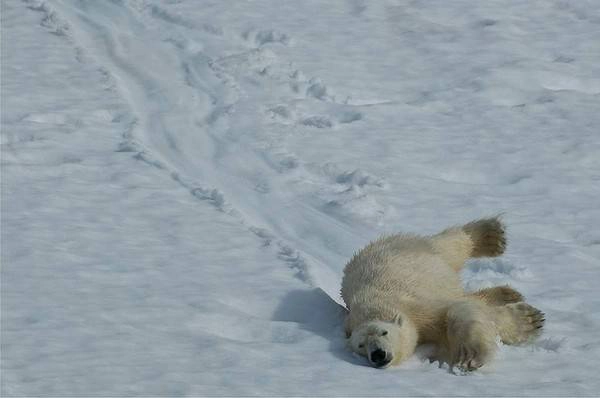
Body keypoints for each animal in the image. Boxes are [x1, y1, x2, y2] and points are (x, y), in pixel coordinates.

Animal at [342, 218, 544, 370]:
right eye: (361, 345)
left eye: (384, 332)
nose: (378, 354)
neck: (374, 306)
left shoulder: (416, 307)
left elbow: (455, 311)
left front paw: (468, 358)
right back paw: (508, 294)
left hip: (423, 251)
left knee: (453, 245)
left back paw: (492, 235)